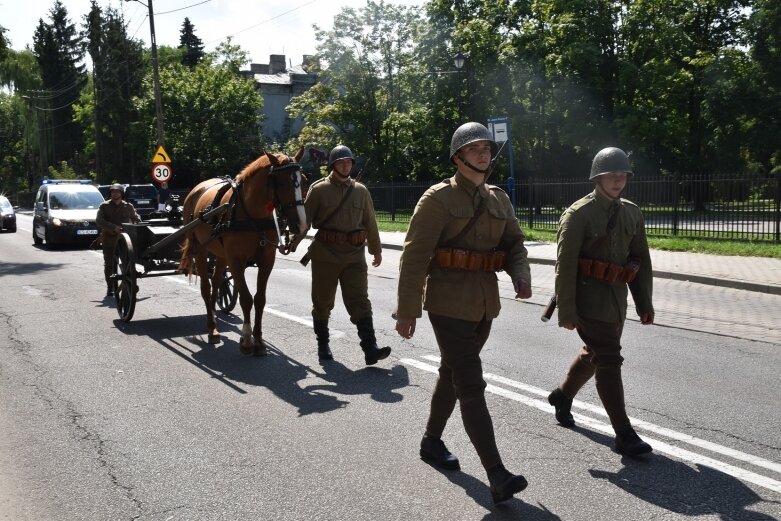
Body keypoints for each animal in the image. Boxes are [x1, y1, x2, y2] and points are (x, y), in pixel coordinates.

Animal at [177, 148, 308, 356]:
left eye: (303, 180)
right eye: (281, 182)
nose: (302, 226)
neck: (252, 215)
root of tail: (196, 190)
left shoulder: (267, 260)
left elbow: (260, 299)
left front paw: (259, 340)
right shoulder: (236, 261)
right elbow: (246, 299)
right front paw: (247, 340)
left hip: (221, 254)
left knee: (216, 282)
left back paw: (214, 317)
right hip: (201, 250)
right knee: (206, 288)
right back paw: (211, 328)